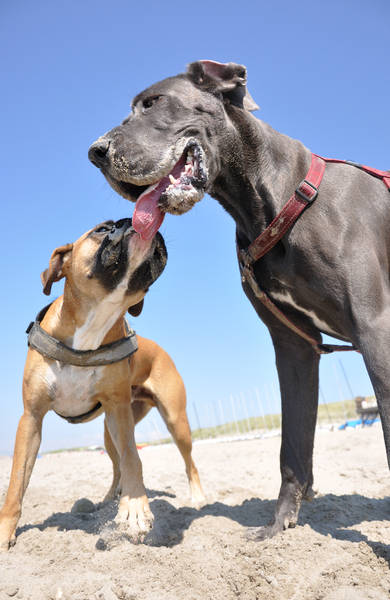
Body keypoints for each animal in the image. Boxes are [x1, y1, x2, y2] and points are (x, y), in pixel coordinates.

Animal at [0, 218, 206, 552]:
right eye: (100, 229)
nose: (128, 221)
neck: (94, 322)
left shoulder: (119, 410)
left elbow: (134, 459)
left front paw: (135, 509)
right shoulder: (31, 418)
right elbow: (17, 481)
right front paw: (5, 532)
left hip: (175, 421)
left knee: (186, 461)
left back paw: (197, 497)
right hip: (110, 435)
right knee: (116, 465)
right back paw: (110, 498)